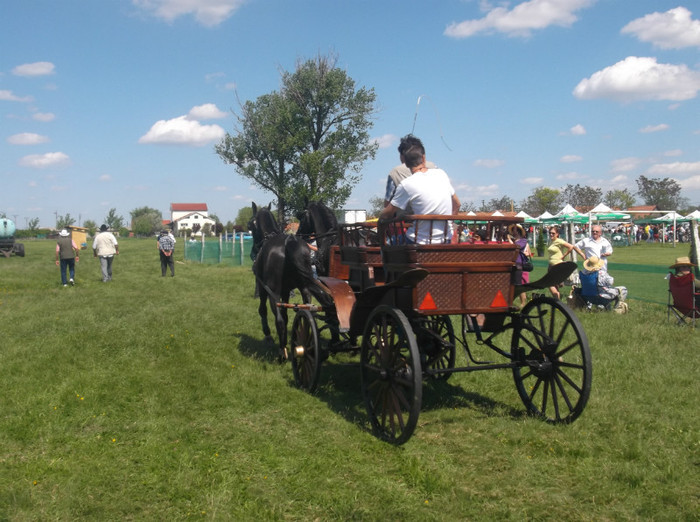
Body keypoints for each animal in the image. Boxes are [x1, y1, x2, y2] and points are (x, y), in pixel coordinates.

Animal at [249, 202, 330, 358]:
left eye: (250, 224)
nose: (253, 251)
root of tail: (289, 242)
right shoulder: (286, 291)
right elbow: (286, 316)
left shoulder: (263, 287)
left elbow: (263, 310)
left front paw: (268, 335)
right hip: (305, 289)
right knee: (309, 314)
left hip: (273, 292)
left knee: (279, 320)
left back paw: (282, 351)